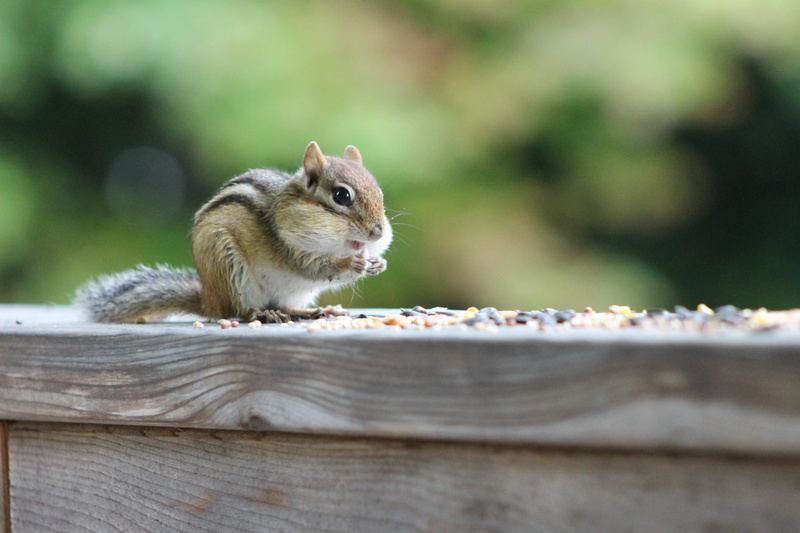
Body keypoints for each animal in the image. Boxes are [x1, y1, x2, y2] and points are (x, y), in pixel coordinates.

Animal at [76, 142, 392, 323]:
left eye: (380, 193)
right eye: (342, 196)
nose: (377, 233)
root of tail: (209, 300)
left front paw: (378, 263)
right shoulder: (287, 245)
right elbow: (313, 266)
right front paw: (353, 263)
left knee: (287, 307)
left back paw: (315, 311)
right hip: (228, 265)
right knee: (236, 312)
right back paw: (261, 313)